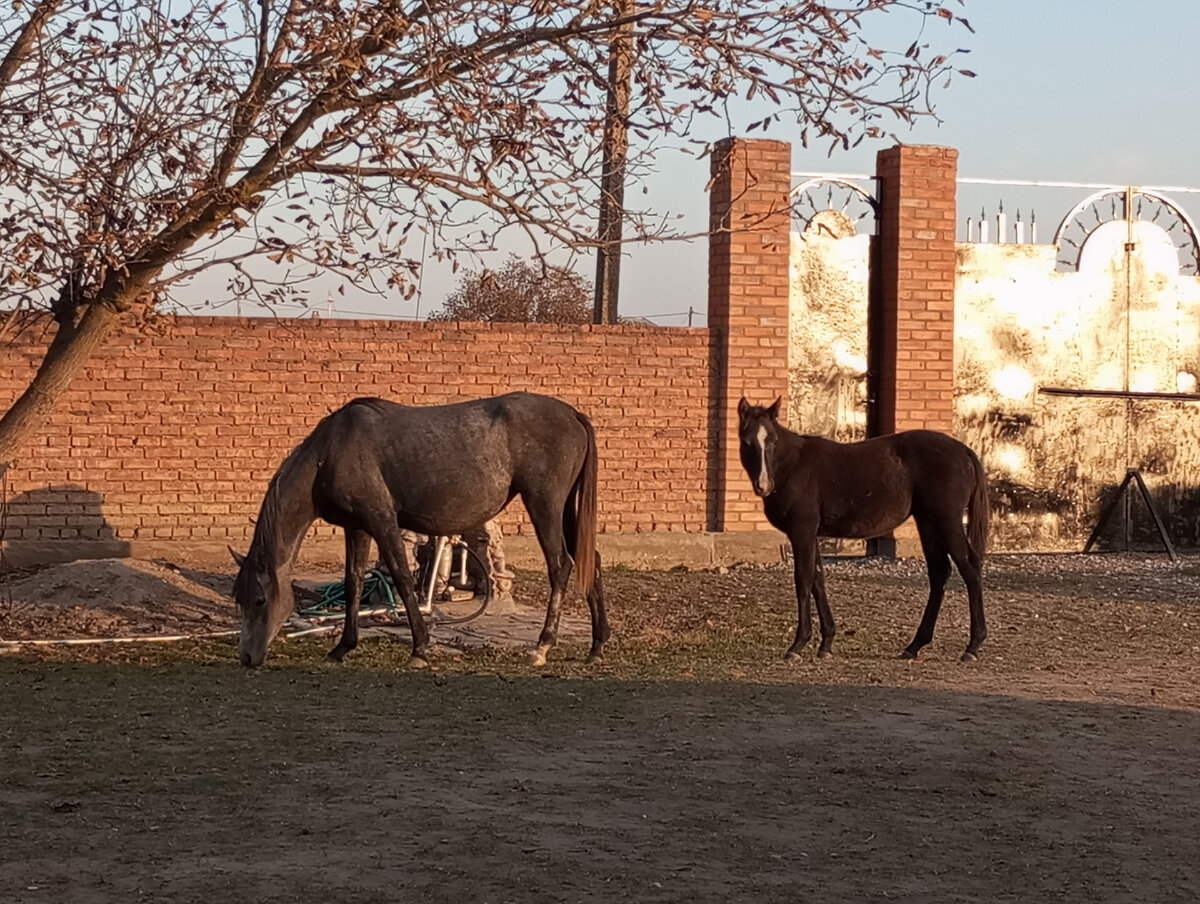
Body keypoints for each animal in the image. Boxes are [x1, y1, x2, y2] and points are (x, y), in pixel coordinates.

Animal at [230, 391, 609, 667]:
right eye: (239, 599)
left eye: (260, 599)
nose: (247, 657)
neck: (332, 452)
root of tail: (572, 414)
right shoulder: (357, 528)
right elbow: (353, 583)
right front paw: (342, 648)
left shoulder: (382, 521)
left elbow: (401, 576)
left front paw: (420, 649)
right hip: (565, 509)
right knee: (591, 560)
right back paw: (597, 645)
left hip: (545, 505)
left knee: (560, 565)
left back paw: (542, 647)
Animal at [734, 398, 988, 657]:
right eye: (747, 442)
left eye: (773, 441)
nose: (763, 485)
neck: (793, 466)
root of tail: (964, 450)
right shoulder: (812, 535)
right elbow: (818, 580)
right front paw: (826, 643)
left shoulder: (802, 531)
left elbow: (803, 581)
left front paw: (798, 644)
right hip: (928, 523)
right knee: (939, 573)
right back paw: (915, 645)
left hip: (948, 522)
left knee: (970, 569)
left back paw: (973, 645)